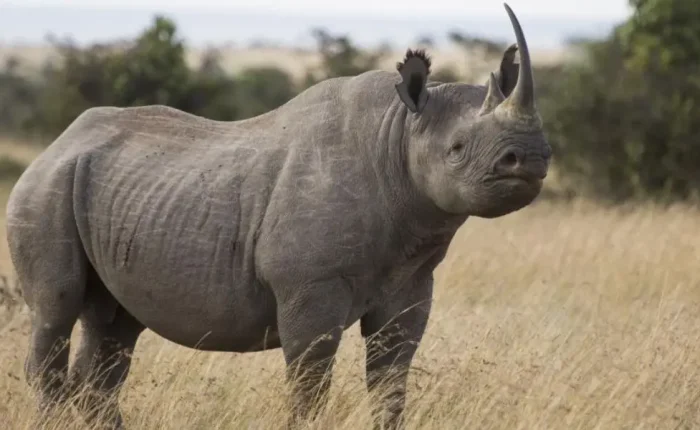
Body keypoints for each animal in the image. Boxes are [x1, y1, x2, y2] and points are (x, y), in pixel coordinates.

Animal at [6, 3, 551, 429]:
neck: (397, 137)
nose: (531, 158)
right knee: (55, 310)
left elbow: (391, 381)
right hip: (44, 189)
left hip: (111, 193)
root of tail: (57, 143)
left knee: (114, 329)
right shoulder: (309, 287)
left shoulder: (411, 282)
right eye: (456, 149)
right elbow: (310, 385)